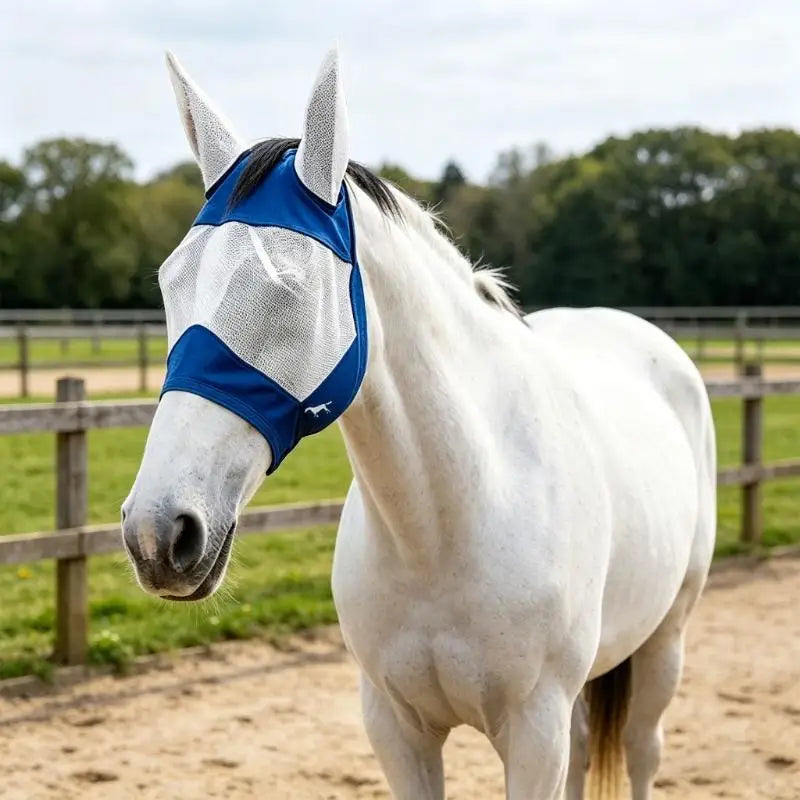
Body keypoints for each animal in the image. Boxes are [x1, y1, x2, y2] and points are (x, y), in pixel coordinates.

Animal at [121, 48, 717, 799]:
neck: (448, 522)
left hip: (665, 643)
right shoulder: (395, 728)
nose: (157, 534)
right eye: (171, 281)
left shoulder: (535, 734)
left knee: (642, 750)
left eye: (290, 289)